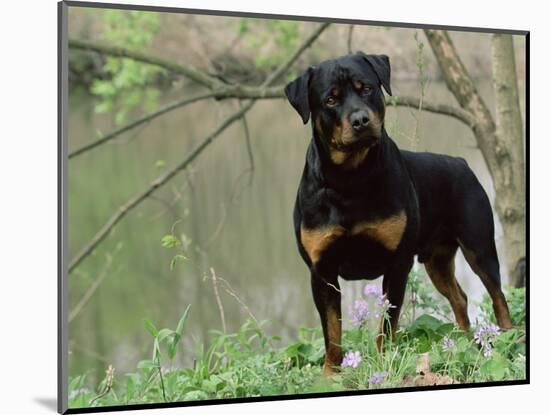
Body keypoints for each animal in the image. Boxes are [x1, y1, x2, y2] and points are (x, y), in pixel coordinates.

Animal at [286, 52, 516, 376]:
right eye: (330, 100)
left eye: (367, 88)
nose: (360, 120)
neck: (350, 180)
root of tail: (461, 162)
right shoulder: (322, 272)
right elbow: (332, 331)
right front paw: (330, 374)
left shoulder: (397, 264)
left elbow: (387, 325)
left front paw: (384, 363)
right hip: (436, 261)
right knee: (459, 298)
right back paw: (461, 343)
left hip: (479, 247)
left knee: (497, 296)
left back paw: (506, 339)